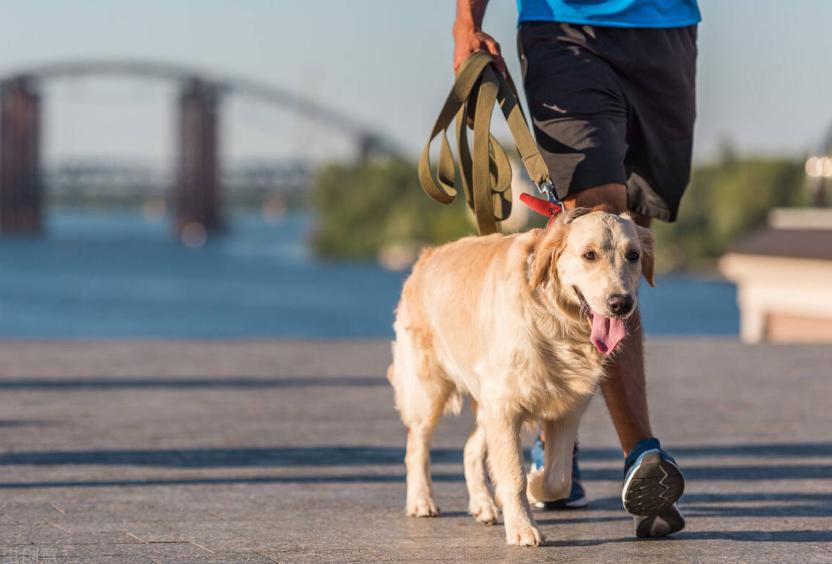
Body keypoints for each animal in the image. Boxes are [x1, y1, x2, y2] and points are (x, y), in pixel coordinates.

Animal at [386, 209, 652, 544]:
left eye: (633, 256)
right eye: (589, 255)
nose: (621, 303)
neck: (558, 323)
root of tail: (427, 256)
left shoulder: (567, 408)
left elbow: (558, 478)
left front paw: (536, 486)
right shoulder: (505, 404)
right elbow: (513, 474)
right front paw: (523, 528)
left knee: (470, 448)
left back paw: (483, 504)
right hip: (428, 389)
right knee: (416, 446)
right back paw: (422, 500)